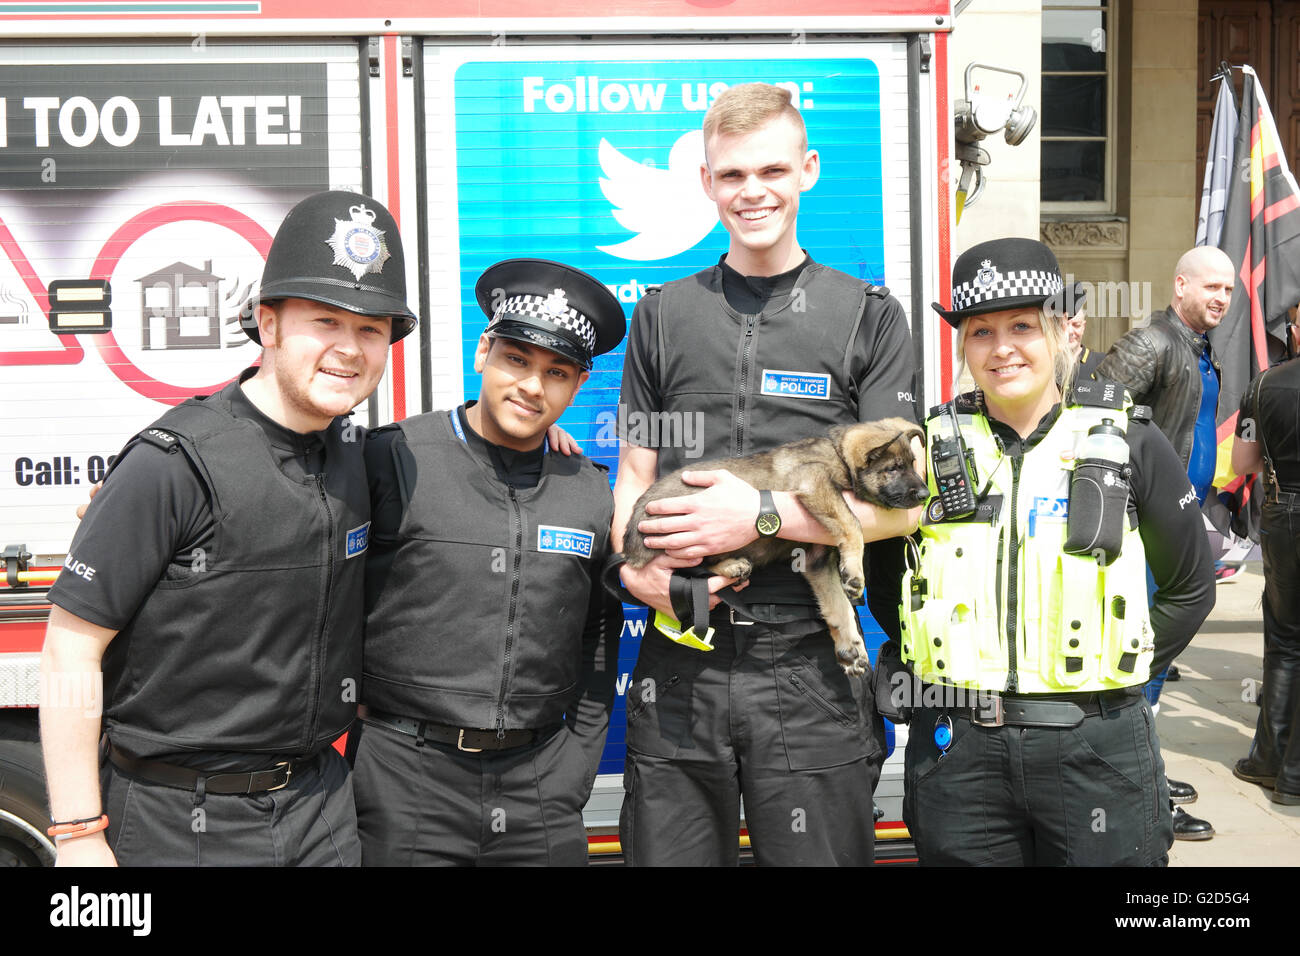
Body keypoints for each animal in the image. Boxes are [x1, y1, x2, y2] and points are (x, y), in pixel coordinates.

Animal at [624, 421, 930, 681]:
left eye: (914, 465)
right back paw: (730, 566)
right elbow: (852, 521)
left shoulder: (817, 562)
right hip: (683, 535)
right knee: (688, 569)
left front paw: (850, 648)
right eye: (894, 468)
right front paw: (855, 571)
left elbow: (838, 606)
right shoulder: (812, 479)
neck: (838, 455)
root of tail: (629, 547)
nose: (926, 495)